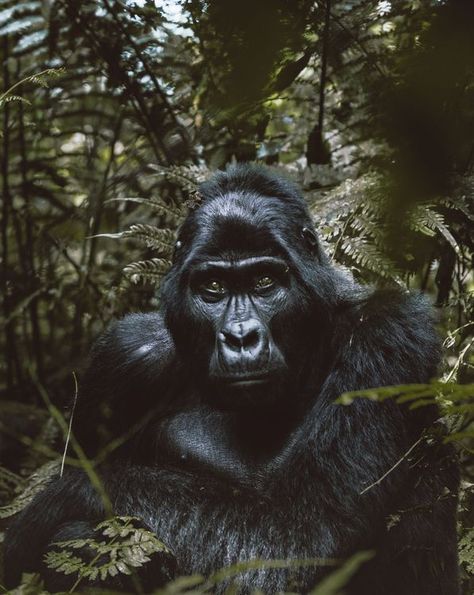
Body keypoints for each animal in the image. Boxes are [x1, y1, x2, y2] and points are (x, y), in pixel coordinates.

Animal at [4, 166, 460, 595]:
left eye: (264, 281)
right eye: (213, 287)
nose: (241, 337)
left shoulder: (389, 333)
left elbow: (297, 538)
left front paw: (48, 508)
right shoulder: (121, 358)